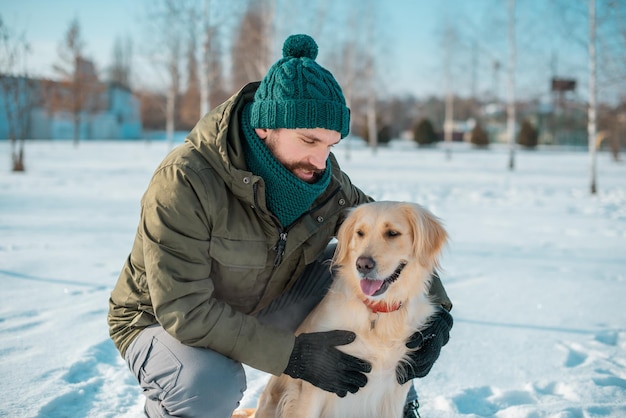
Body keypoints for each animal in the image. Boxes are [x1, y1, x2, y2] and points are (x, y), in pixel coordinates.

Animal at [233, 201, 444, 416]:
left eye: (392, 233)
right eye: (360, 233)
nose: (363, 265)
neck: (376, 313)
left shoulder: (395, 388)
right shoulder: (317, 383)